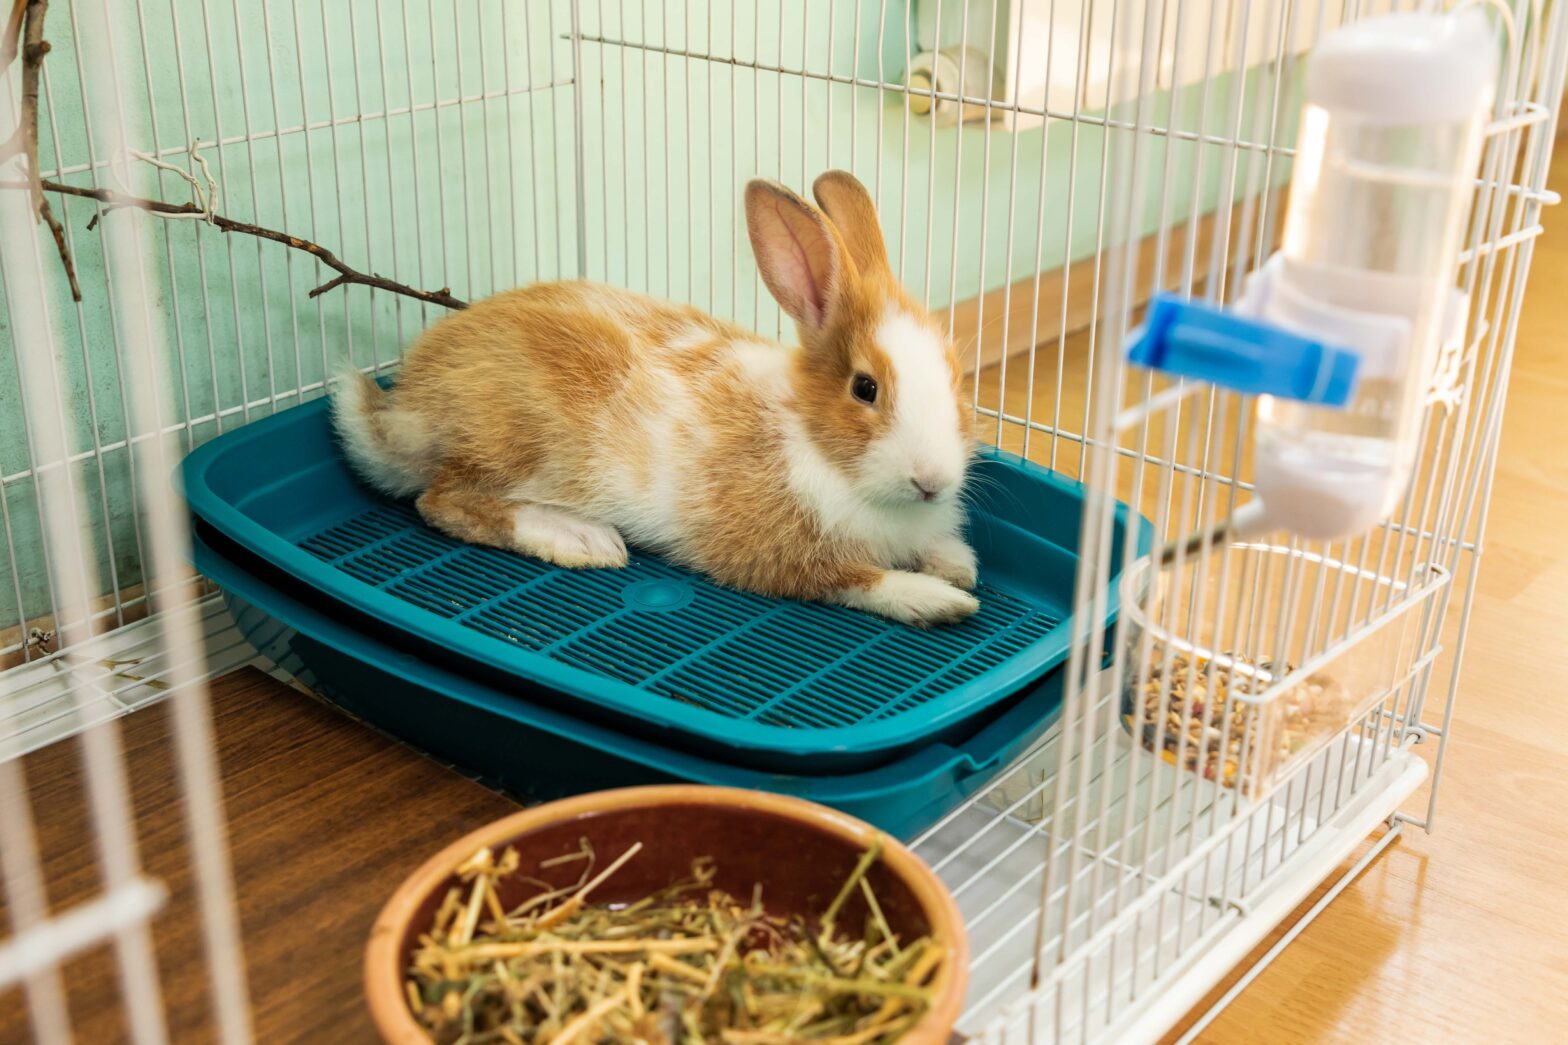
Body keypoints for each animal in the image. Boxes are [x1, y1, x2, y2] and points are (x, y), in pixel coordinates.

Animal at [330, 170, 980, 626]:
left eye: (955, 376)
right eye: (865, 388)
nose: (932, 482)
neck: (816, 443)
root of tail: (402, 410)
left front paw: (957, 564)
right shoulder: (778, 556)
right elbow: (856, 580)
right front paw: (938, 600)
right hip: (516, 446)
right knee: (443, 502)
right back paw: (579, 539)